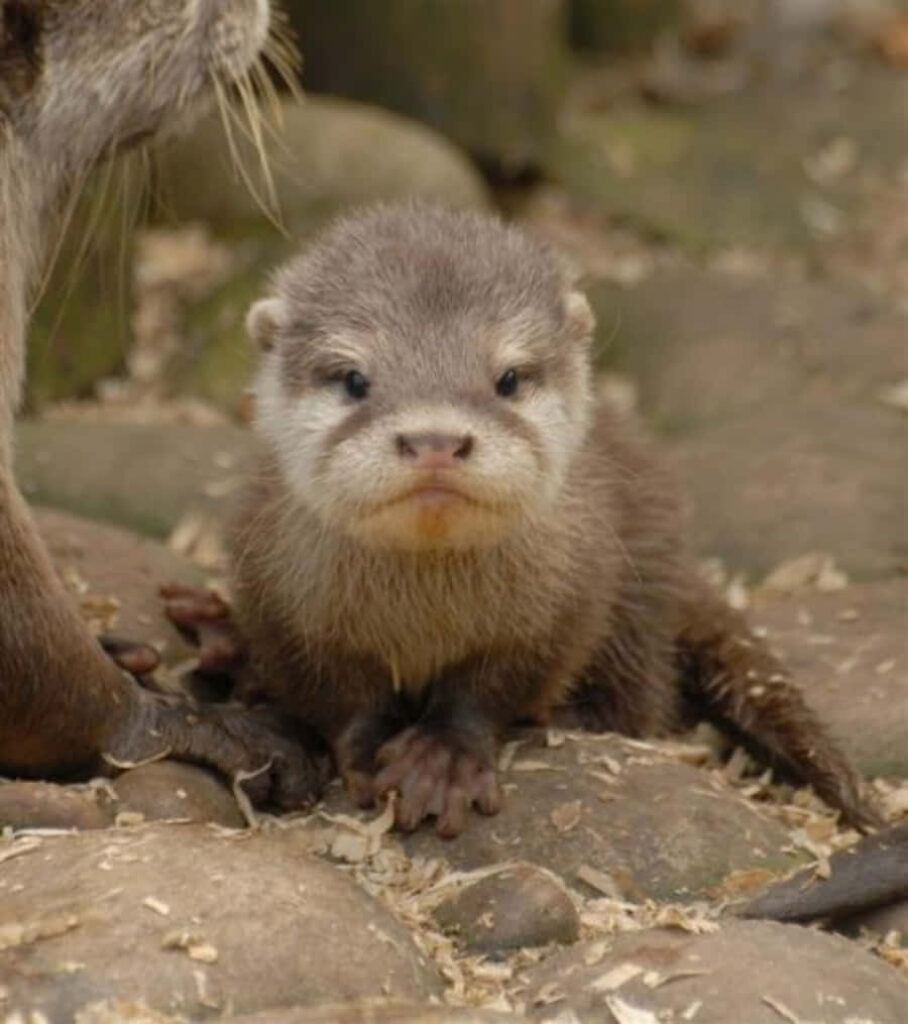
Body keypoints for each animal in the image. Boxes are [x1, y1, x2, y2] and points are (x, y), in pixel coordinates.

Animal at [170, 202, 876, 837]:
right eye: (352, 379)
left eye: (508, 377)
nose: (435, 440)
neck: (420, 618)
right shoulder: (281, 598)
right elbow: (334, 694)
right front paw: (370, 745)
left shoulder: (563, 600)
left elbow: (494, 690)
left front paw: (444, 760)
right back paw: (223, 642)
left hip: (640, 588)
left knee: (639, 696)